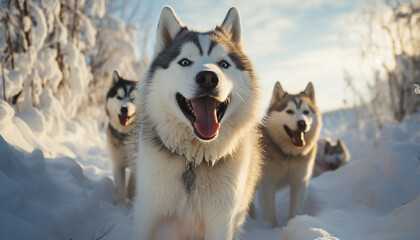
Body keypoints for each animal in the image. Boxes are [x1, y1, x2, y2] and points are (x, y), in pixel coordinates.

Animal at [132, 5, 262, 240]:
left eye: (223, 64)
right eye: (185, 62)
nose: (208, 78)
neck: (195, 159)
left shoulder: (221, 221)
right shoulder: (148, 214)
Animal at [256, 81, 322, 227]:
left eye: (306, 112)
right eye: (289, 111)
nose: (302, 123)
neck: (288, 155)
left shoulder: (299, 181)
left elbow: (294, 210)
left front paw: (293, 223)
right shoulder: (267, 183)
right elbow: (270, 214)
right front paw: (272, 229)